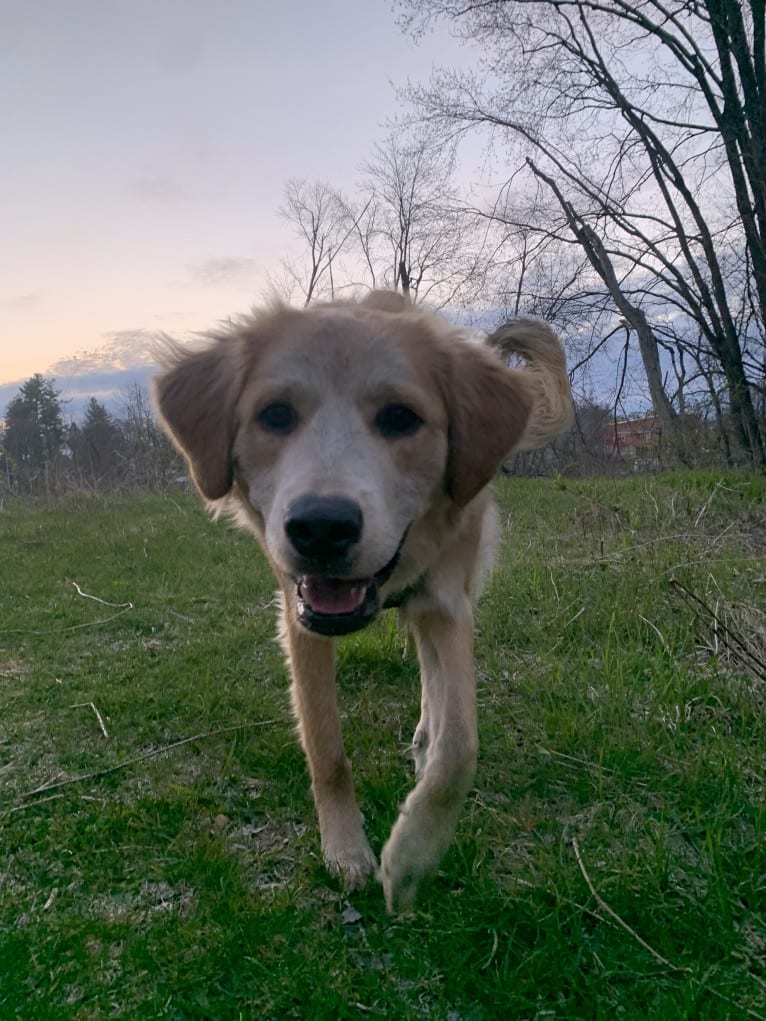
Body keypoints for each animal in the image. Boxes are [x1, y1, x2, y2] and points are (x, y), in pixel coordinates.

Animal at [153, 292, 571, 914]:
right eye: (275, 415)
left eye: (401, 418)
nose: (321, 528)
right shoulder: (300, 619)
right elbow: (326, 749)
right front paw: (347, 850)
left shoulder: (449, 604)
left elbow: (459, 748)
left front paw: (411, 857)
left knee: (432, 680)